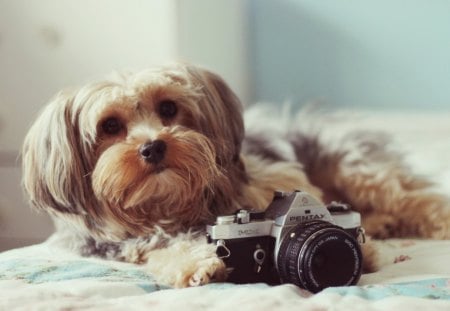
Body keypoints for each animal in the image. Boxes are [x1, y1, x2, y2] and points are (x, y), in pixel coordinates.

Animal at [22, 62, 450, 288]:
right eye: (110, 126)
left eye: (168, 107)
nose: (153, 147)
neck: (167, 206)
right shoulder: (129, 244)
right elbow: (161, 249)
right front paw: (197, 264)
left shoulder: (277, 176)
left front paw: (368, 247)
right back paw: (383, 222)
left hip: (351, 164)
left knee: (411, 196)